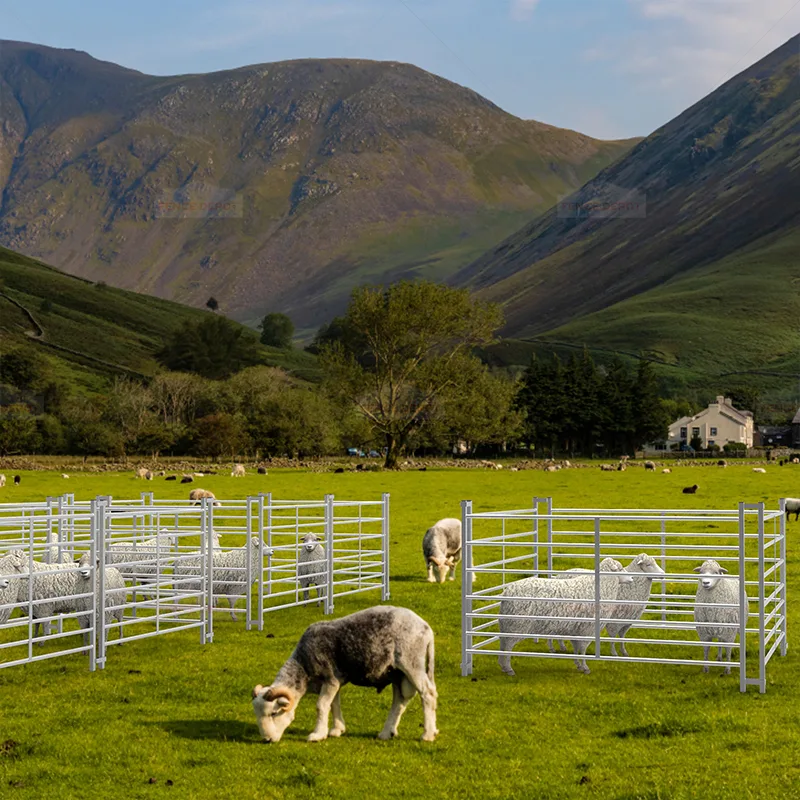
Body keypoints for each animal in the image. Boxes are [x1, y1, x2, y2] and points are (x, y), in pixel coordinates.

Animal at [251, 606, 437, 743]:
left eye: (273, 713)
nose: (267, 740)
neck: (303, 667)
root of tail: (426, 627)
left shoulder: (330, 679)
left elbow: (321, 705)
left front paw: (317, 734)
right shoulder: (335, 682)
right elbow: (334, 704)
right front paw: (336, 729)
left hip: (411, 663)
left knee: (428, 693)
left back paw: (427, 735)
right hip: (397, 674)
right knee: (400, 700)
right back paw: (387, 732)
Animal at [497, 557, 633, 675]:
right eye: (620, 568)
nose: (632, 578)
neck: (601, 587)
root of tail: (507, 592)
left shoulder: (576, 630)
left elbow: (576, 649)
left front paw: (578, 665)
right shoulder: (587, 629)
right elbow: (583, 650)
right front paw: (585, 667)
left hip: (506, 624)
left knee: (503, 644)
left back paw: (503, 666)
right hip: (516, 624)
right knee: (508, 647)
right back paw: (509, 669)